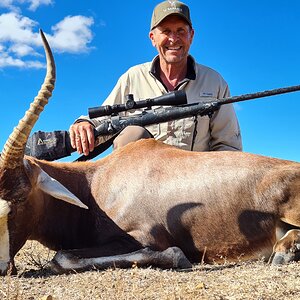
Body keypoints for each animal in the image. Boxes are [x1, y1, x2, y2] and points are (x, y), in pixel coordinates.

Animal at [0, 31, 300, 276]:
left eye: (19, 200)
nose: (3, 268)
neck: (96, 181)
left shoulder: (144, 237)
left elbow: (63, 257)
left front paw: (179, 257)